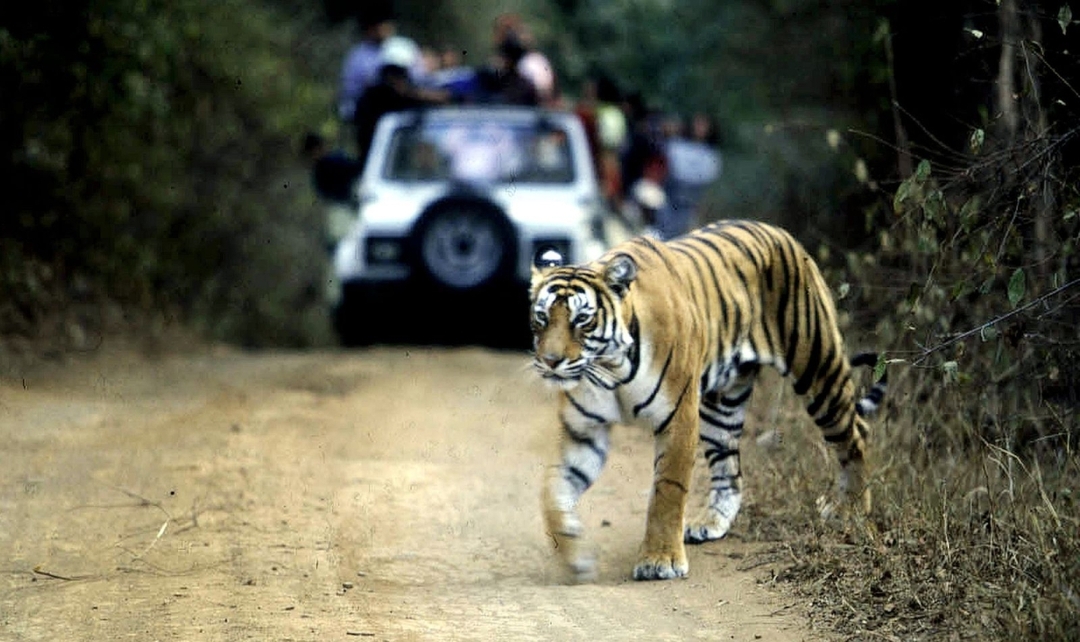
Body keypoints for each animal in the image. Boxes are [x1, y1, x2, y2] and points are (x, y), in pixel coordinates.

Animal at [529, 219, 887, 582]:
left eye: (582, 320)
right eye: (542, 317)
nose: (550, 361)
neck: (610, 368)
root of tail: (778, 231)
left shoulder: (678, 418)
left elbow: (667, 490)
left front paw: (660, 561)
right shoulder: (584, 433)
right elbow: (552, 492)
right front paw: (577, 557)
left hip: (817, 368)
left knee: (857, 432)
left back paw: (852, 509)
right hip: (721, 405)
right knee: (730, 468)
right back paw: (711, 523)